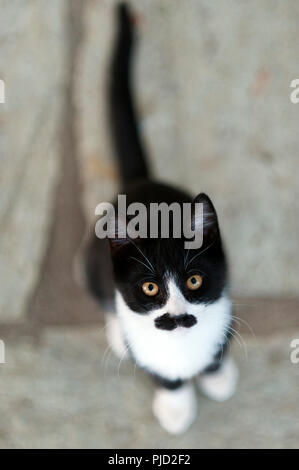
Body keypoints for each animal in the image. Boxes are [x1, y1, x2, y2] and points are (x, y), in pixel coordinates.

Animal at [85, 3, 239, 436]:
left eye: (194, 281)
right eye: (151, 288)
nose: (177, 318)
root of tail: (141, 182)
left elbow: (218, 348)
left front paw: (218, 375)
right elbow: (163, 375)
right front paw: (176, 407)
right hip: (91, 263)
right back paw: (117, 334)